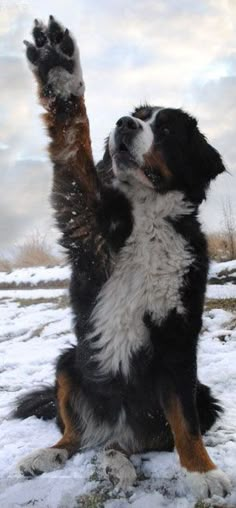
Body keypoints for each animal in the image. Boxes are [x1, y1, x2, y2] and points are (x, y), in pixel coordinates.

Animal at [14, 15, 230, 500]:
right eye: (138, 115)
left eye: (166, 129)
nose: (124, 124)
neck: (146, 217)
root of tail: (118, 430)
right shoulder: (86, 227)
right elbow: (72, 143)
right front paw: (59, 66)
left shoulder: (178, 339)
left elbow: (186, 423)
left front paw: (202, 472)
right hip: (70, 363)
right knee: (74, 435)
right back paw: (49, 455)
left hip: (203, 394)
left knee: (135, 441)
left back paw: (119, 464)